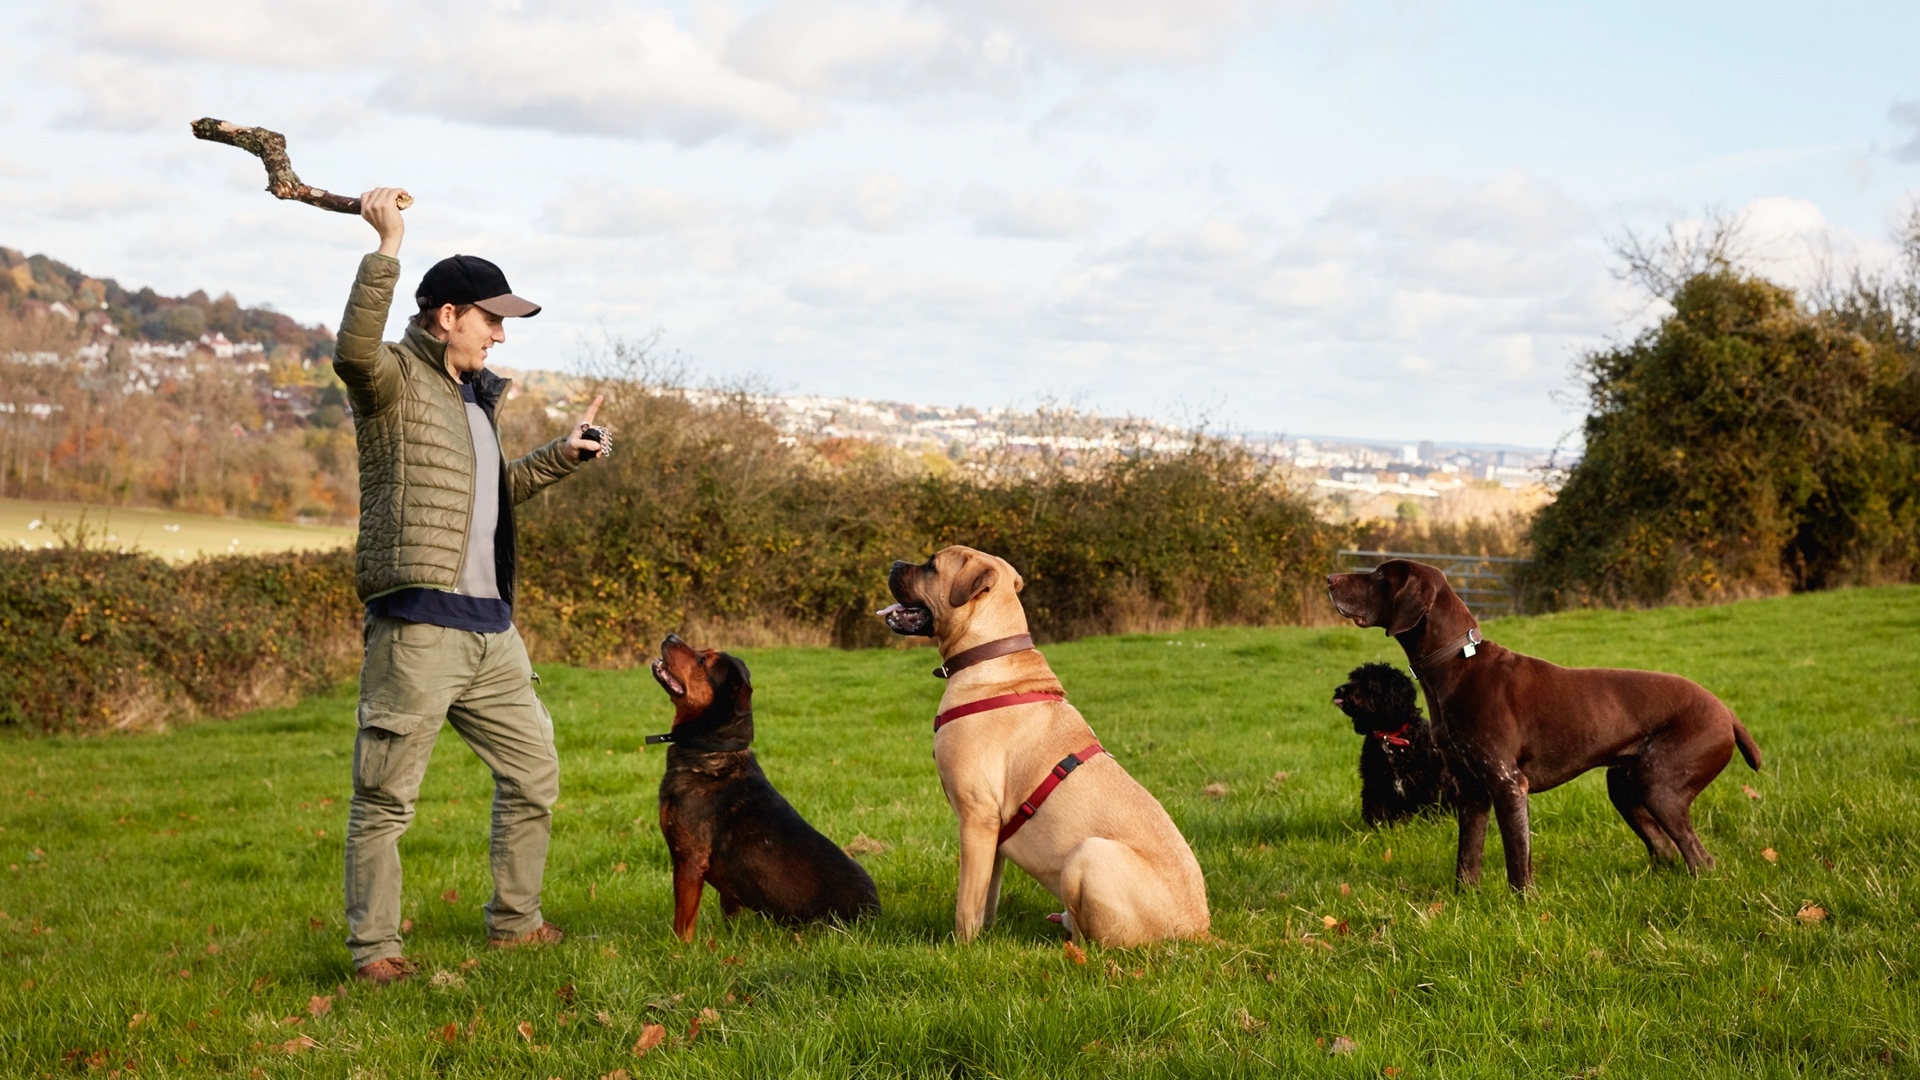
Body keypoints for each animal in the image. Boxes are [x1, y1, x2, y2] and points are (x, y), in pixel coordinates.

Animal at [879, 545, 1205, 941]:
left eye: (931, 566)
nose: (894, 563)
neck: (990, 653)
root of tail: (1199, 931)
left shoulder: (976, 816)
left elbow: (966, 903)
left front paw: (961, 946)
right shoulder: (992, 834)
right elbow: (987, 896)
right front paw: (983, 939)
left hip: (1088, 854)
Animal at [1336, 657, 1451, 822]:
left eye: (1368, 684)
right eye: (1353, 678)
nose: (1339, 689)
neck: (1390, 737)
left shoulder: (1431, 783)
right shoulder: (1376, 784)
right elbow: (1378, 813)